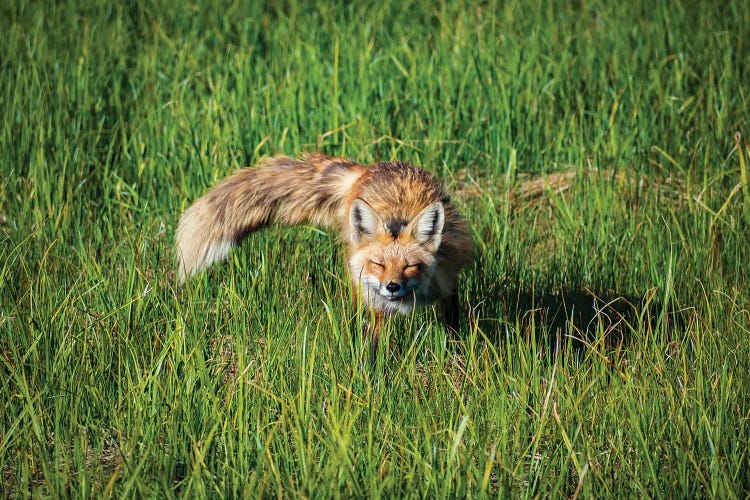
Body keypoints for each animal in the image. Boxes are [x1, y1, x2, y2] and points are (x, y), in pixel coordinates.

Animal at [176, 153, 472, 340]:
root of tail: (368, 169)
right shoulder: (377, 306)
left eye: (410, 266)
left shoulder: (447, 283)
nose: (392, 286)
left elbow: (453, 328)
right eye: (378, 264)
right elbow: (375, 346)